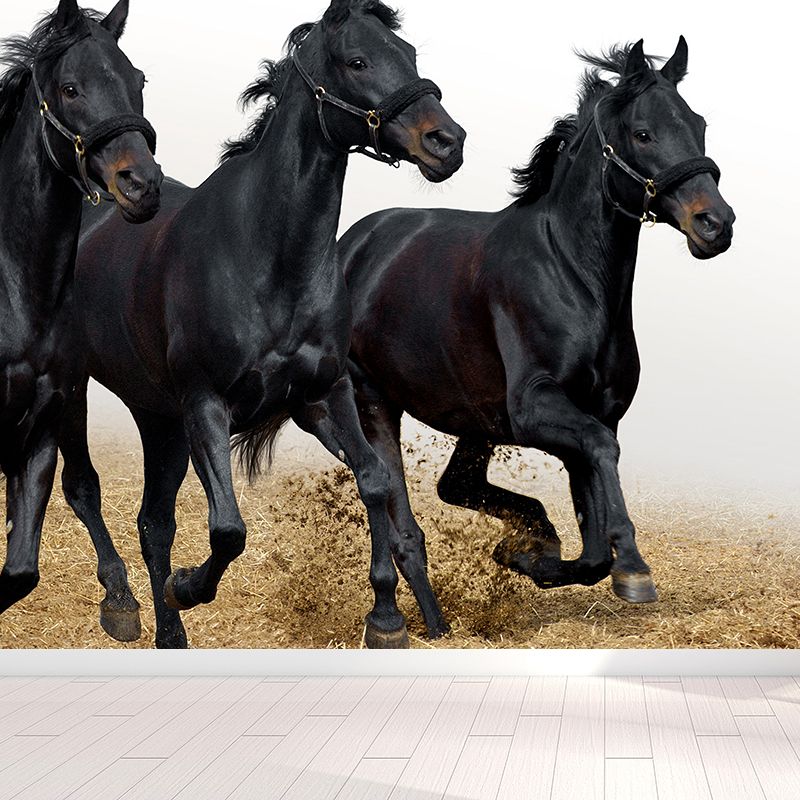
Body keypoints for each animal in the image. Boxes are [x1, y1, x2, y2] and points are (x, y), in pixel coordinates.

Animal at [65, 0, 465, 647]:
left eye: (407, 54)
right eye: (357, 60)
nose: (447, 142)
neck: (269, 258)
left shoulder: (323, 394)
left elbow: (376, 480)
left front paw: (385, 618)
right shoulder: (206, 405)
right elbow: (228, 528)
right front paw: (188, 585)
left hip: (158, 416)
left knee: (153, 522)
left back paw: (169, 634)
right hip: (76, 388)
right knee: (85, 489)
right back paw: (122, 604)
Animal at [336, 38, 735, 642]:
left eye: (700, 125)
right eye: (643, 133)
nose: (716, 223)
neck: (571, 275)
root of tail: (348, 247)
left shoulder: (592, 413)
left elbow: (593, 544)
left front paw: (529, 556)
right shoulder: (536, 409)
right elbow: (601, 457)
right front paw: (633, 569)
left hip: (473, 421)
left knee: (455, 486)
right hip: (375, 402)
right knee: (403, 526)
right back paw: (419, 626)